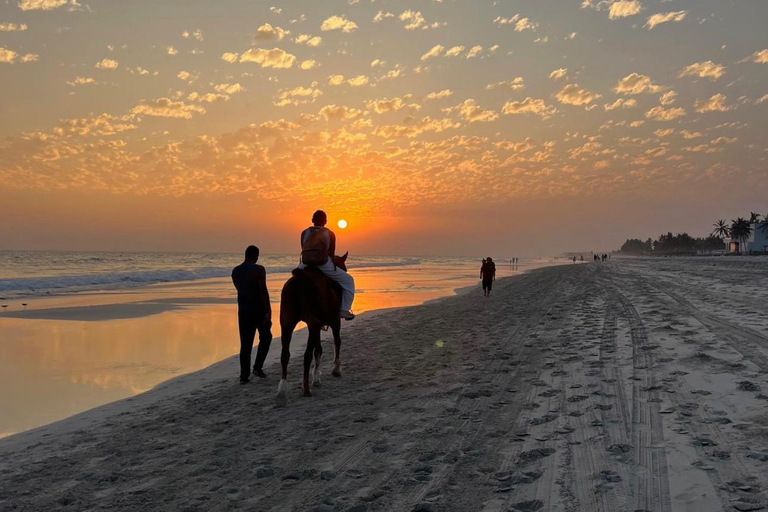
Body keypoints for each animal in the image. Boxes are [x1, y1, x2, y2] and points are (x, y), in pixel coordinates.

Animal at [276, 252, 348, 408]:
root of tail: (300, 279)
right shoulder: (334, 321)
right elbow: (336, 342)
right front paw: (336, 369)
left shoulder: (318, 326)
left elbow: (318, 349)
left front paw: (316, 378)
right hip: (312, 324)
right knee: (306, 355)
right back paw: (306, 389)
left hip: (287, 323)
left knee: (285, 355)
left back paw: (282, 392)